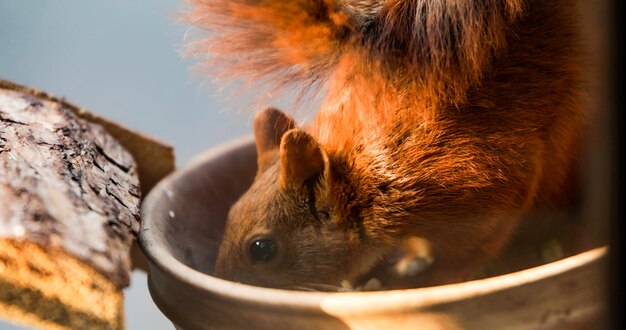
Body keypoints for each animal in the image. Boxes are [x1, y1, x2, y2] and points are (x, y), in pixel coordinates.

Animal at [185, 0, 584, 288]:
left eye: (262, 249)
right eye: (229, 214)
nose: (224, 281)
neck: (359, 183)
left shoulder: (476, 190)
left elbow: (472, 250)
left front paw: (427, 277)